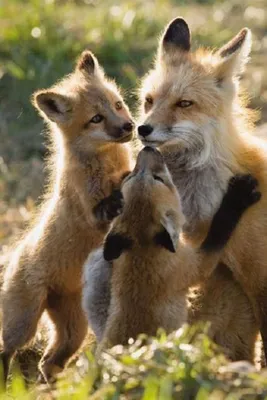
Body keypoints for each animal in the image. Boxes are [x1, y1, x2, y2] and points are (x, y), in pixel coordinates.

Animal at [0, 50, 134, 382]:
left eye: (117, 104)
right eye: (96, 118)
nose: (129, 126)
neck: (104, 165)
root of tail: (13, 254)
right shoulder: (92, 214)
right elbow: (108, 203)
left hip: (74, 331)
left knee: (48, 362)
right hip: (23, 324)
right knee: (7, 350)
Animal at [82, 146, 260, 360]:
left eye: (131, 176)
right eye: (159, 178)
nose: (147, 148)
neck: (141, 253)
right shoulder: (192, 266)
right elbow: (219, 230)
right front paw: (238, 197)